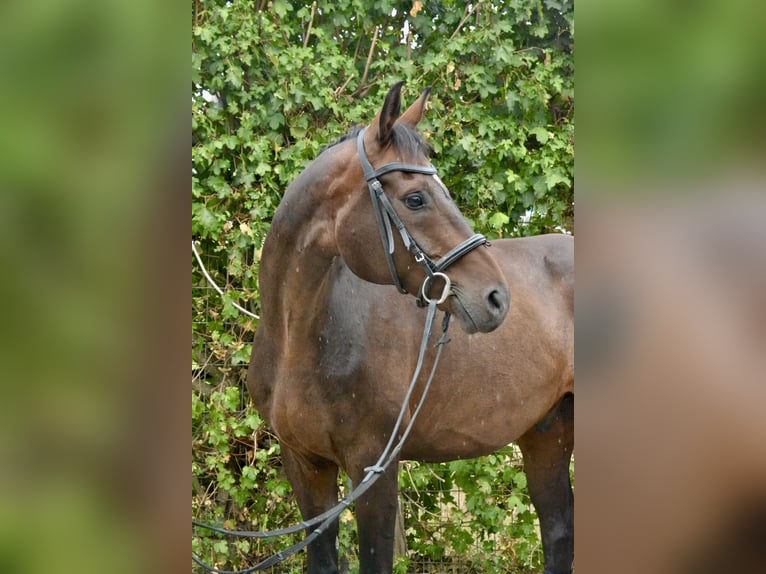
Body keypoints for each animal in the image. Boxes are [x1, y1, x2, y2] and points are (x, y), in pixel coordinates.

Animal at [246, 81, 574, 574]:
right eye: (416, 198)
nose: (497, 298)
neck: (297, 341)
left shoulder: (373, 468)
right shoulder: (304, 464)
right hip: (547, 435)